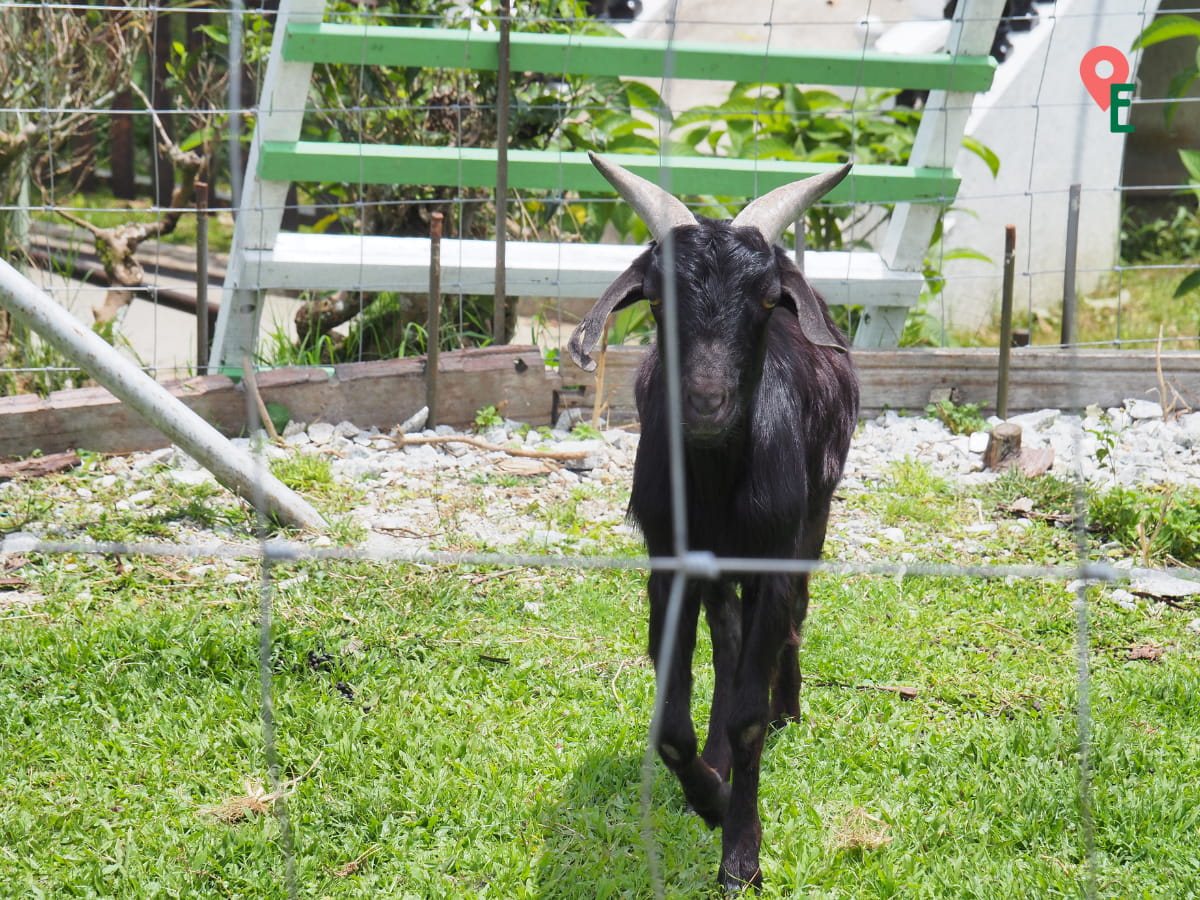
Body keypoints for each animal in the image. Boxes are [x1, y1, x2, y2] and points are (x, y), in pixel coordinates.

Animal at [566, 153, 859, 897]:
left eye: (766, 299)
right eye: (657, 298)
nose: (705, 402)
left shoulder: (776, 553)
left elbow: (753, 712)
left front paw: (741, 853)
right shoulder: (668, 561)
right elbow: (672, 725)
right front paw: (713, 798)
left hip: (812, 522)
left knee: (792, 618)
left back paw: (788, 706)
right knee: (727, 641)